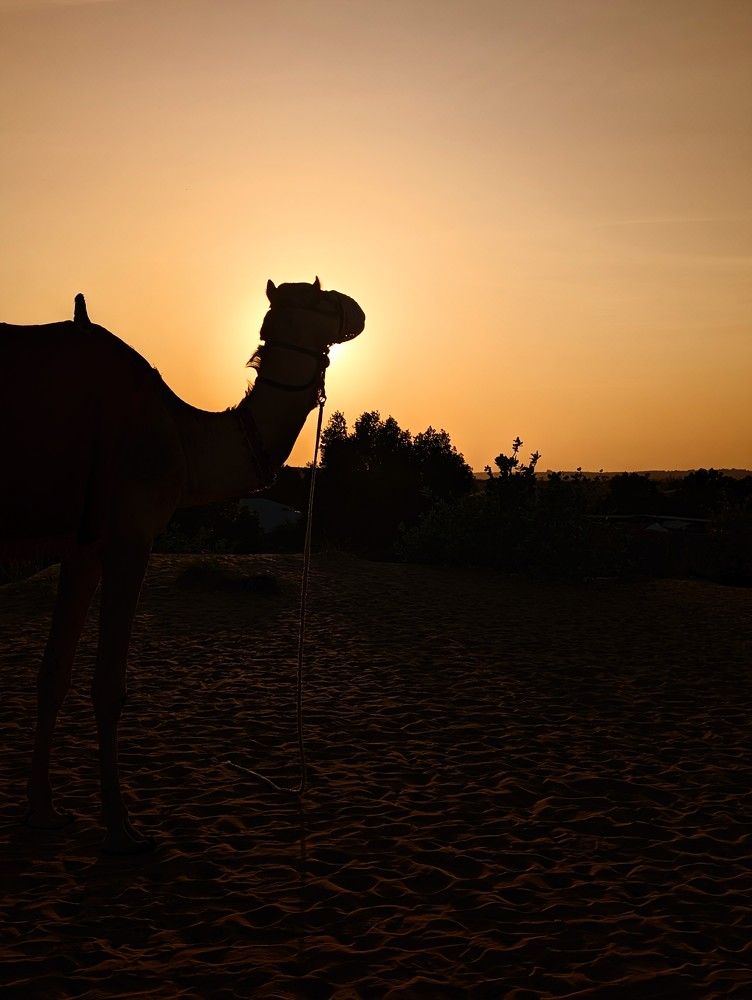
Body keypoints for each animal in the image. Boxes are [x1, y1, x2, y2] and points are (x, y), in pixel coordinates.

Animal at [0, 278, 365, 853]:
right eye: (324, 298)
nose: (360, 310)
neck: (180, 435)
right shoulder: (130, 536)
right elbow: (108, 686)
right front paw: (122, 828)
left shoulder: (83, 545)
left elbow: (52, 672)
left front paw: (43, 812)